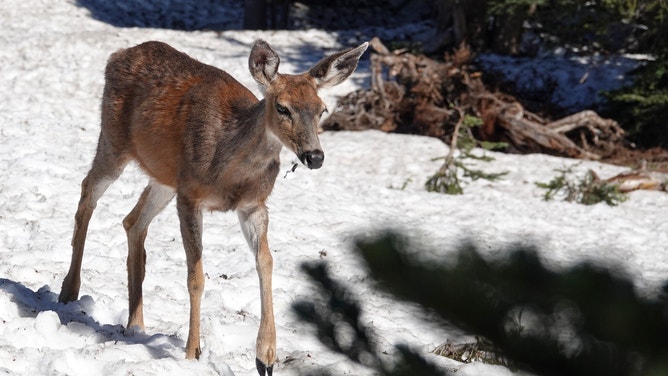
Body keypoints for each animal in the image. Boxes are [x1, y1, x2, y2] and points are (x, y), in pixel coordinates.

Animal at [57, 37, 368, 374]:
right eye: (282, 107)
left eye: (322, 110)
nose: (315, 156)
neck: (228, 168)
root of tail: (118, 54)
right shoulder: (191, 196)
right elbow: (196, 276)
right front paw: (193, 351)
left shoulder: (254, 205)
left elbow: (266, 262)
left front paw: (266, 356)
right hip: (114, 140)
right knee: (88, 192)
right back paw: (69, 291)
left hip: (165, 177)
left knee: (132, 220)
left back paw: (136, 323)